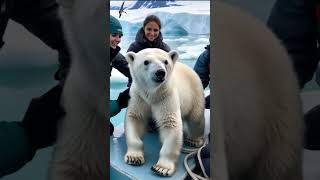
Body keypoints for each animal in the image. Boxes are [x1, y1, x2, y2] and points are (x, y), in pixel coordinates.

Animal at [124, 47, 204, 176]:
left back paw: (194, 140)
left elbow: (170, 123)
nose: (160, 72)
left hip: (194, 92)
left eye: (165, 61)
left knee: (196, 118)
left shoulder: (166, 96)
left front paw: (161, 168)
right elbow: (135, 118)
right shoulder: (139, 96)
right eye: (146, 62)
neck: (153, 94)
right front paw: (134, 157)